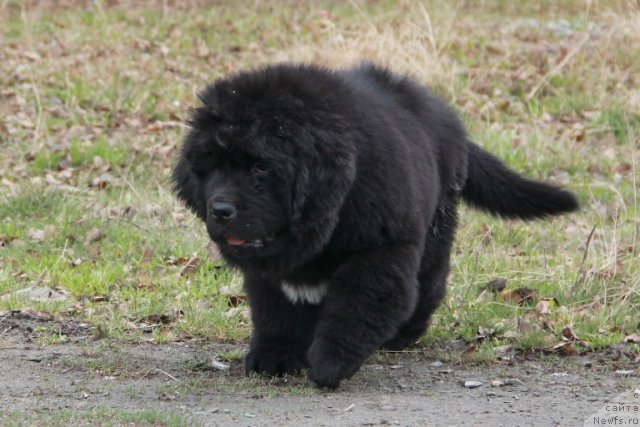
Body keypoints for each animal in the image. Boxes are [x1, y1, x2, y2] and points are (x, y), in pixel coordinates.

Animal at [172, 62, 576, 388]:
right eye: (212, 164)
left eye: (260, 167)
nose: (220, 209)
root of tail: (448, 117)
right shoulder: (271, 270)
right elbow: (276, 311)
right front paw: (276, 357)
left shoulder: (380, 251)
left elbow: (357, 308)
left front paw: (330, 364)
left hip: (434, 228)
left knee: (429, 283)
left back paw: (403, 334)